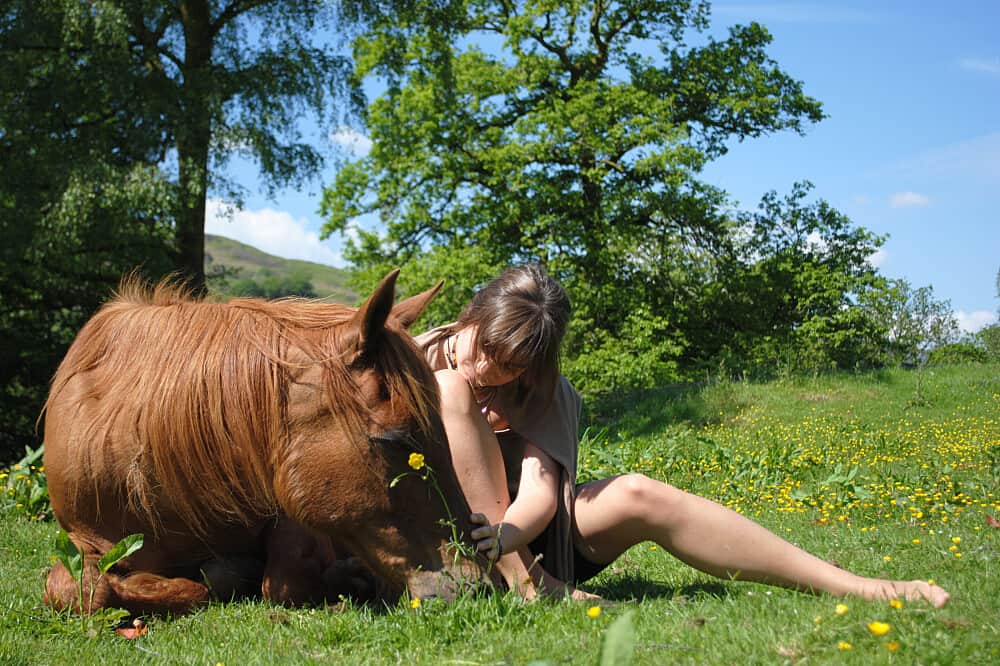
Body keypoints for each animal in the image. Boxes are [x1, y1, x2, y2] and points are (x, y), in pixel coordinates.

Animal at [42, 270, 497, 615]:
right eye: (393, 440)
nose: (482, 586)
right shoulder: (84, 542)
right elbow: (82, 591)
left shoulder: (292, 508)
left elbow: (280, 581)